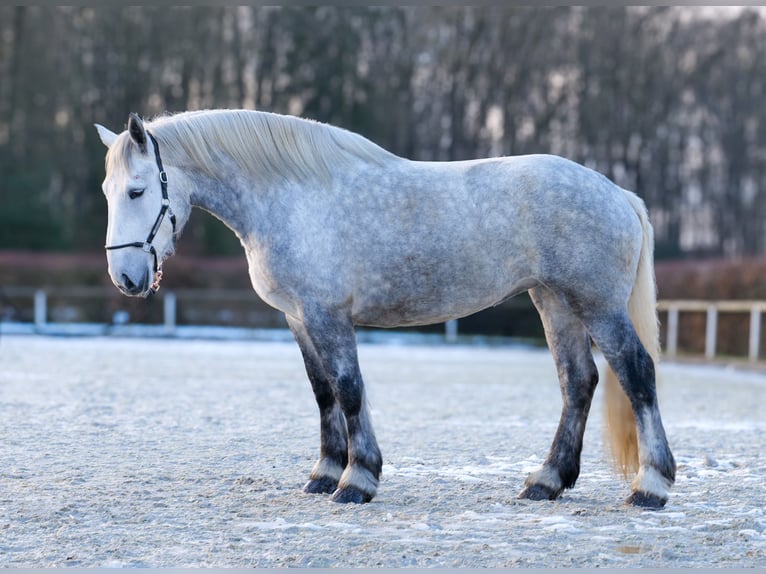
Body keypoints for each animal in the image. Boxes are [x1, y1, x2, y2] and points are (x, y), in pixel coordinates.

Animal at [96, 110, 680, 510]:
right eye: (107, 191)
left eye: (137, 190)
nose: (126, 279)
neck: (290, 198)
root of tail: (619, 195)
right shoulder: (298, 319)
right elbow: (324, 394)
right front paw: (324, 474)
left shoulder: (328, 316)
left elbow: (349, 390)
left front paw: (357, 480)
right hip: (554, 301)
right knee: (578, 381)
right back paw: (547, 481)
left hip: (596, 305)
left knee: (636, 373)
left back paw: (650, 486)